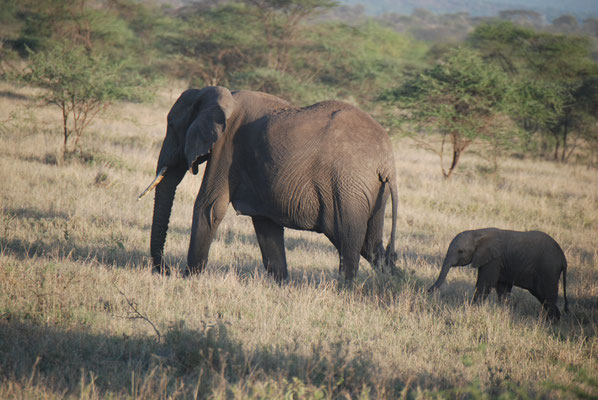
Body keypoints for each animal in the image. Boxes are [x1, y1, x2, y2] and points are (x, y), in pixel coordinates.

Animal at [142, 86, 398, 282]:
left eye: (171, 125)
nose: (166, 270)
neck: (218, 94)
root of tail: (386, 161)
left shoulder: (226, 148)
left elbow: (210, 207)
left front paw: (189, 279)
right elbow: (265, 223)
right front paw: (281, 285)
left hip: (346, 185)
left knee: (348, 238)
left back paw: (346, 291)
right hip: (372, 190)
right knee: (371, 244)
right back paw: (392, 285)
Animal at [428, 228, 568, 318]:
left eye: (460, 251)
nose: (428, 291)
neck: (477, 233)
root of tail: (563, 258)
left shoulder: (494, 260)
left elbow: (485, 285)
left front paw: (471, 310)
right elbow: (502, 289)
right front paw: (503, 313)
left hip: (549, 270)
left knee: (548, 297)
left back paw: (551, 324)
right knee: (544, 298)